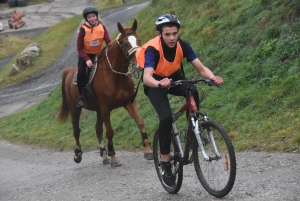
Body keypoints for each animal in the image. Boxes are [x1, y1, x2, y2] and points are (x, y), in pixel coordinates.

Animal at [57, 20, 152, 168]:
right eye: (125, 44)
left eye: (139, 40)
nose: (140, 63)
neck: (115, 75)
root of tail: (69, 72)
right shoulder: (106, 108)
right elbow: (110, 132)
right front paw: (113, 158)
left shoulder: (128, 103)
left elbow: (140, 122)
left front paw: (148, 150)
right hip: (75, 109)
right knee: (76, 130)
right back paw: (78, 154)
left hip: (98, 110)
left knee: (97, 129)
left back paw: (104, 155)